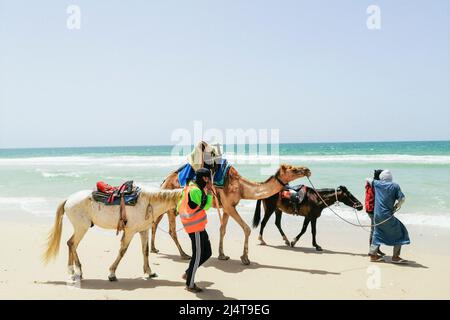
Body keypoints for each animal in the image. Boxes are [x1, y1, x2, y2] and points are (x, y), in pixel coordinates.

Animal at [42, 186, 183, 282]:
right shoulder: (130, 231)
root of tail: (68, 199)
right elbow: (122, 251)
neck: (148, 202)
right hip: (81, 227)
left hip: (80, 228)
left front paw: (149, 272)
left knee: (71, 244)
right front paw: (112, 273)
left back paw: (73, 271)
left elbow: (145, 251)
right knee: (72, 244)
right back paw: (77, 271)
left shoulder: (143, 230)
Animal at [150, 164, 310, 264]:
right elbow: (247, 228)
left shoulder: (227, 208)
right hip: (172, 206)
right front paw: (245, 258)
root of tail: (165, 180)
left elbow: (222, 230)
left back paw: (154, 248)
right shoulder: (229, 205)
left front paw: (222, 255)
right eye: (293, 169)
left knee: (155, 222)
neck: (241, 186)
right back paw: (183, 254)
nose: (307, 170)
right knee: (171, 230)